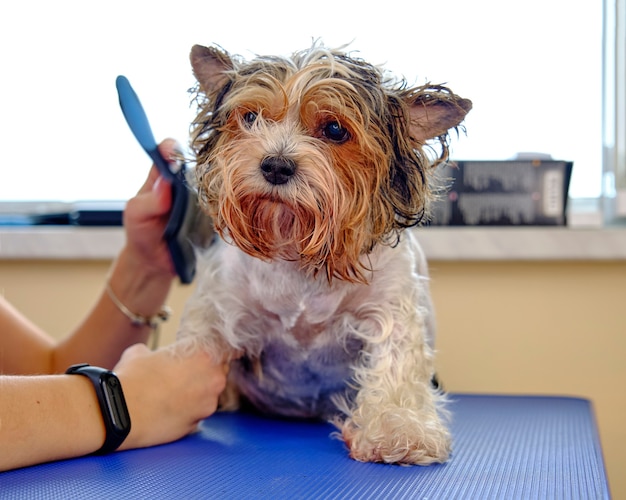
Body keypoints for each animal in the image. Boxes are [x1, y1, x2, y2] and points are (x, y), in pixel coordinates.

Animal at [176, 43, 468, 464]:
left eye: (334, 130)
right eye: (250, 117)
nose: (275, 165)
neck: (296, 245)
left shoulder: (391, 306)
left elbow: (397, 360)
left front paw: (399, 428)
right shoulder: (218, 301)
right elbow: (195, 342)